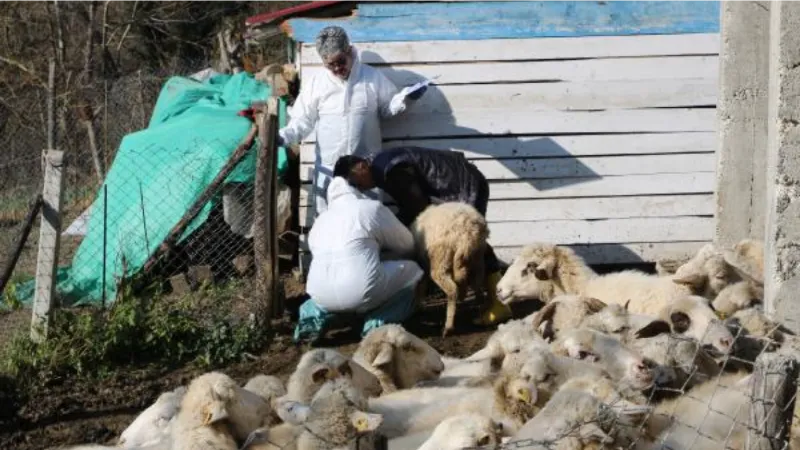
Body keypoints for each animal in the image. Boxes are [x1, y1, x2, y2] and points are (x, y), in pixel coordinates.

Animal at [410, 202, 490, 336]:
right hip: (477, 258)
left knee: (452, 289)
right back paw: (479, 309)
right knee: (476, 284)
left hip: (440, 260)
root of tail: (467, 234)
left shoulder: (423, 263)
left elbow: (420, 285)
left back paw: (448, 327)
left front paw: (417, 306)